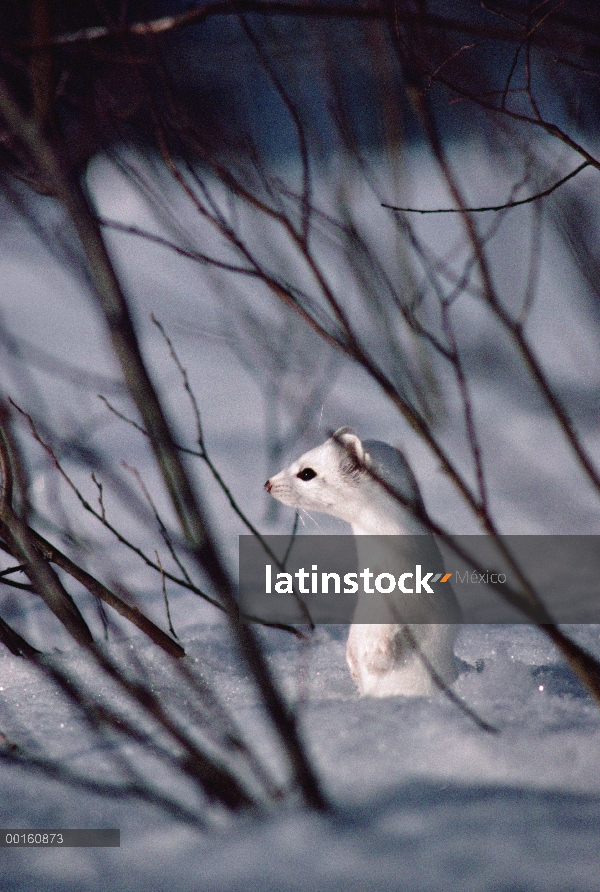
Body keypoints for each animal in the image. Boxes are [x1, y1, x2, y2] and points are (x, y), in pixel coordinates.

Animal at [266, 426, 460, 696]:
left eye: (306, 472)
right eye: (301, 458)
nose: (268, 483)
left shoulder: (426, 603)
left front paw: (378, 658)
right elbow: (354, 638)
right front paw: (356, 665)